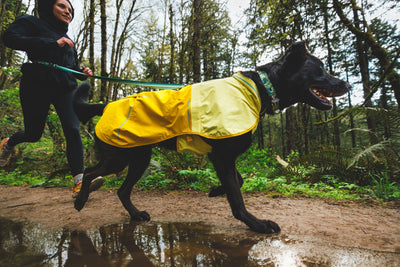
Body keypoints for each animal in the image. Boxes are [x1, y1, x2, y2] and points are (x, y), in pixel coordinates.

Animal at [73, 42, 348, 234]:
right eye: (321, 69)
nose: (347, 84)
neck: (259, 88)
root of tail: (105, 105)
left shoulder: (225, 157)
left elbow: (238, 181)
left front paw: (216, 190)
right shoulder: (223, 156)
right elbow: (237, 199)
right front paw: (257, 224)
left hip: (139, 157)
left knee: (122, 191)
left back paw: (135, 214)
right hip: (118, 157)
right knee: (89, 173)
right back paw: (80, 200)